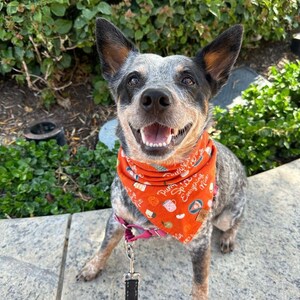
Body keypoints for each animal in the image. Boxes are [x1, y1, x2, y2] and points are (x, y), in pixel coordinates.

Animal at [76, 18, 247, 300]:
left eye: (188, 79)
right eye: (133, 79)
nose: (155, 97)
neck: (158, 178)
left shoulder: (200, 241)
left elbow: (200, 281)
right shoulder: (118, 217)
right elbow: (105, 245)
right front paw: (92, 265)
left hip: (227, 214)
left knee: (236, 221)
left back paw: (228, 237)